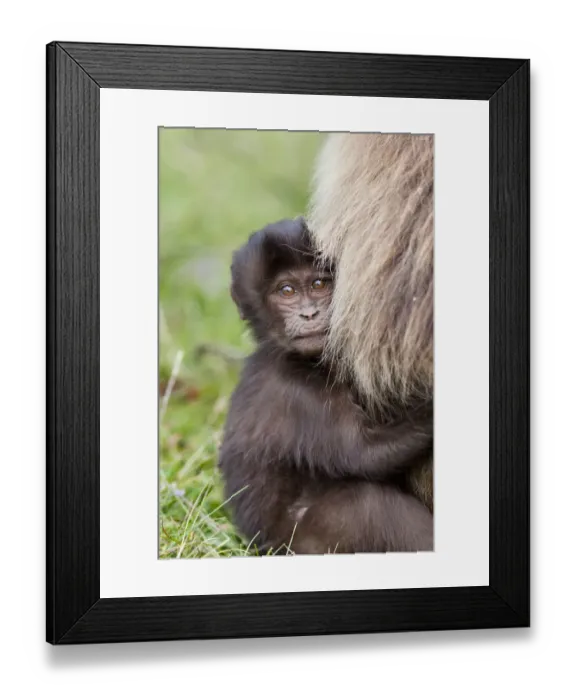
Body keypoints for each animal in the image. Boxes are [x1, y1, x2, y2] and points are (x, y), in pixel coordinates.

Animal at [218, 218, 433, 555]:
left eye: (319, 285)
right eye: (287, 291)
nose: (309, 313)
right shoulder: (298, 391)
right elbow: (364, 455)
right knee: (371, 506)